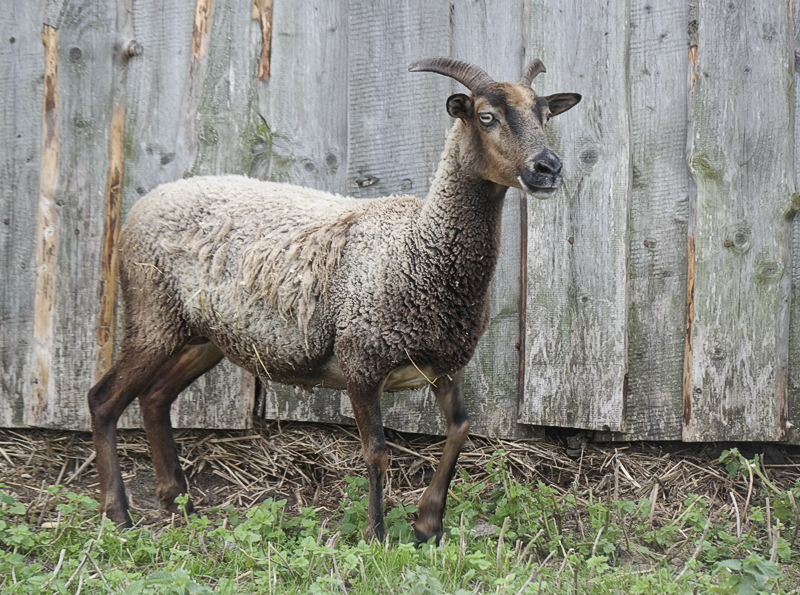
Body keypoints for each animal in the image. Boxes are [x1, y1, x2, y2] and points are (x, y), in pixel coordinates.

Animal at [89, 58, 580, 544]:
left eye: (546, 115)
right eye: (486, 117)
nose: (549, 168)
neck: (418, 247)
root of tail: (147, 202)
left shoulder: (442, 364)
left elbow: (460, 428)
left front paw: (427, 526)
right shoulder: (360, 361)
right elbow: (377, 452)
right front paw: (377, 535)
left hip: (207, 335)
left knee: (155, 398)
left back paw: (179, 501)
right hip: (153, 314)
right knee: (103, 400)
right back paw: (119, 515)